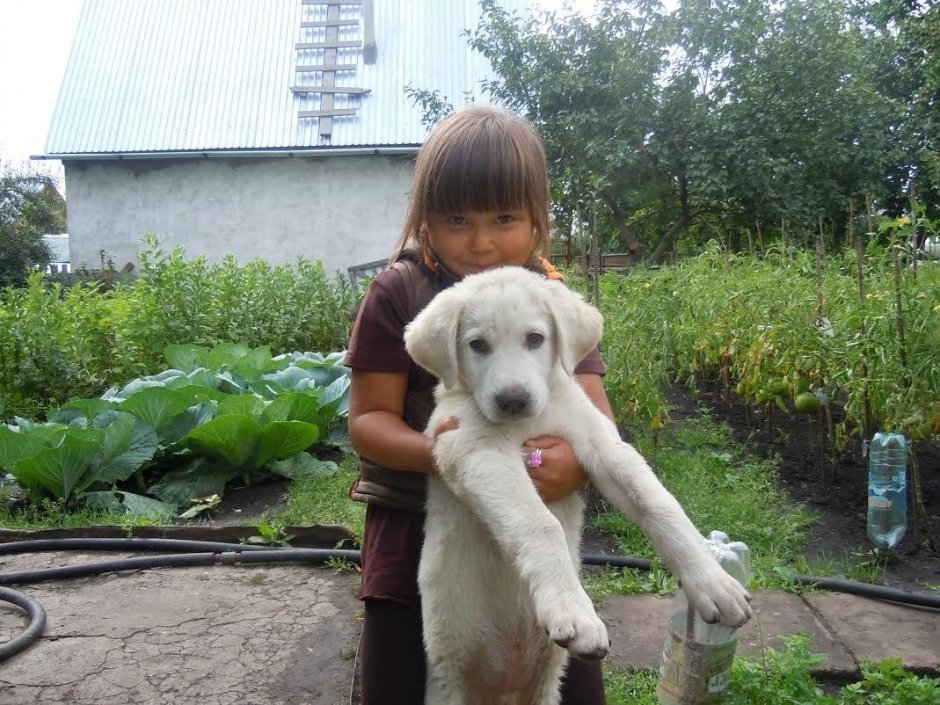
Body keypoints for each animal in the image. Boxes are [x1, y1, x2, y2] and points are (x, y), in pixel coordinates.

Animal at [404, 266, 748, 700]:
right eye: (478, 345)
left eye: (535, 338)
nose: (513, 400)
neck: (532, 422)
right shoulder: (473, 450)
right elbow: (540, 524)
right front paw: (575, 611)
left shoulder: (600, 445)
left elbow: (659, 504)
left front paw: (713, 582)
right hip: (450, 679)